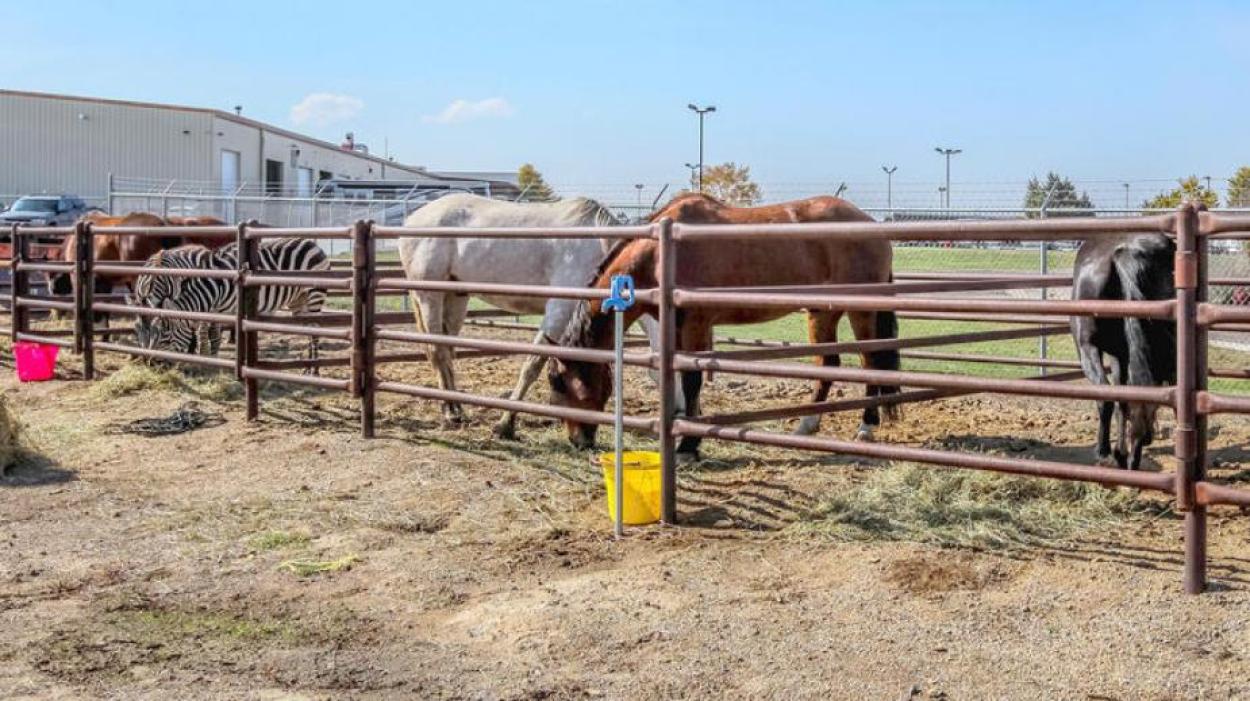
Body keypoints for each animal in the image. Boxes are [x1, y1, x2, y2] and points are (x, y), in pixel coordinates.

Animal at [130, 238, 332, 369]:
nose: (150, 364)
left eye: (166, 335)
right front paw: (207, 358)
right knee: (307, 330)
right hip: (298, 300)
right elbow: (208, 333)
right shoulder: (212, 309)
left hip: (314, 295)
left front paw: (209, 361)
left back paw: (314, 371)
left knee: (315, 331)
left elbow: (212, 335)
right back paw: (306, 367)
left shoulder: (225, 309)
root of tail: (312, 243)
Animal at [397, 191, 675, 437]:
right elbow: (532, 365)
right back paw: (449, 413)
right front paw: (505, 424)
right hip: (429, 296)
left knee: (447, 350)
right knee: (437, 350)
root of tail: (412, 219)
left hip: (455, 297)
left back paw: (457, 408)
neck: (597, 244)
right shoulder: (559, 309)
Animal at [547, 192, 900, 459]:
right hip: (822, 313)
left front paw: (688, 445)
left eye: (560, 383)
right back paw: (807, 426)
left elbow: (692, 381)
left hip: (860, 310)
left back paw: (866, 426)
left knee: (870, 360)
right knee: (830, 364)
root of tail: (870, 225)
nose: (577, 441)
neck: (659, 255)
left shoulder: (696, 325)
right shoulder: (678, 330)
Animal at [1070, 232, 1175, 467]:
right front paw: (1125, 451)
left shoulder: (1108, 353)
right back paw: (1133, 453)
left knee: (1106, 398)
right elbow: (1124, 399)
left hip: (1088, 349)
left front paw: (1113, 451)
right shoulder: (1122, 355)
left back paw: (1105, 451)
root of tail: (1124, 253)